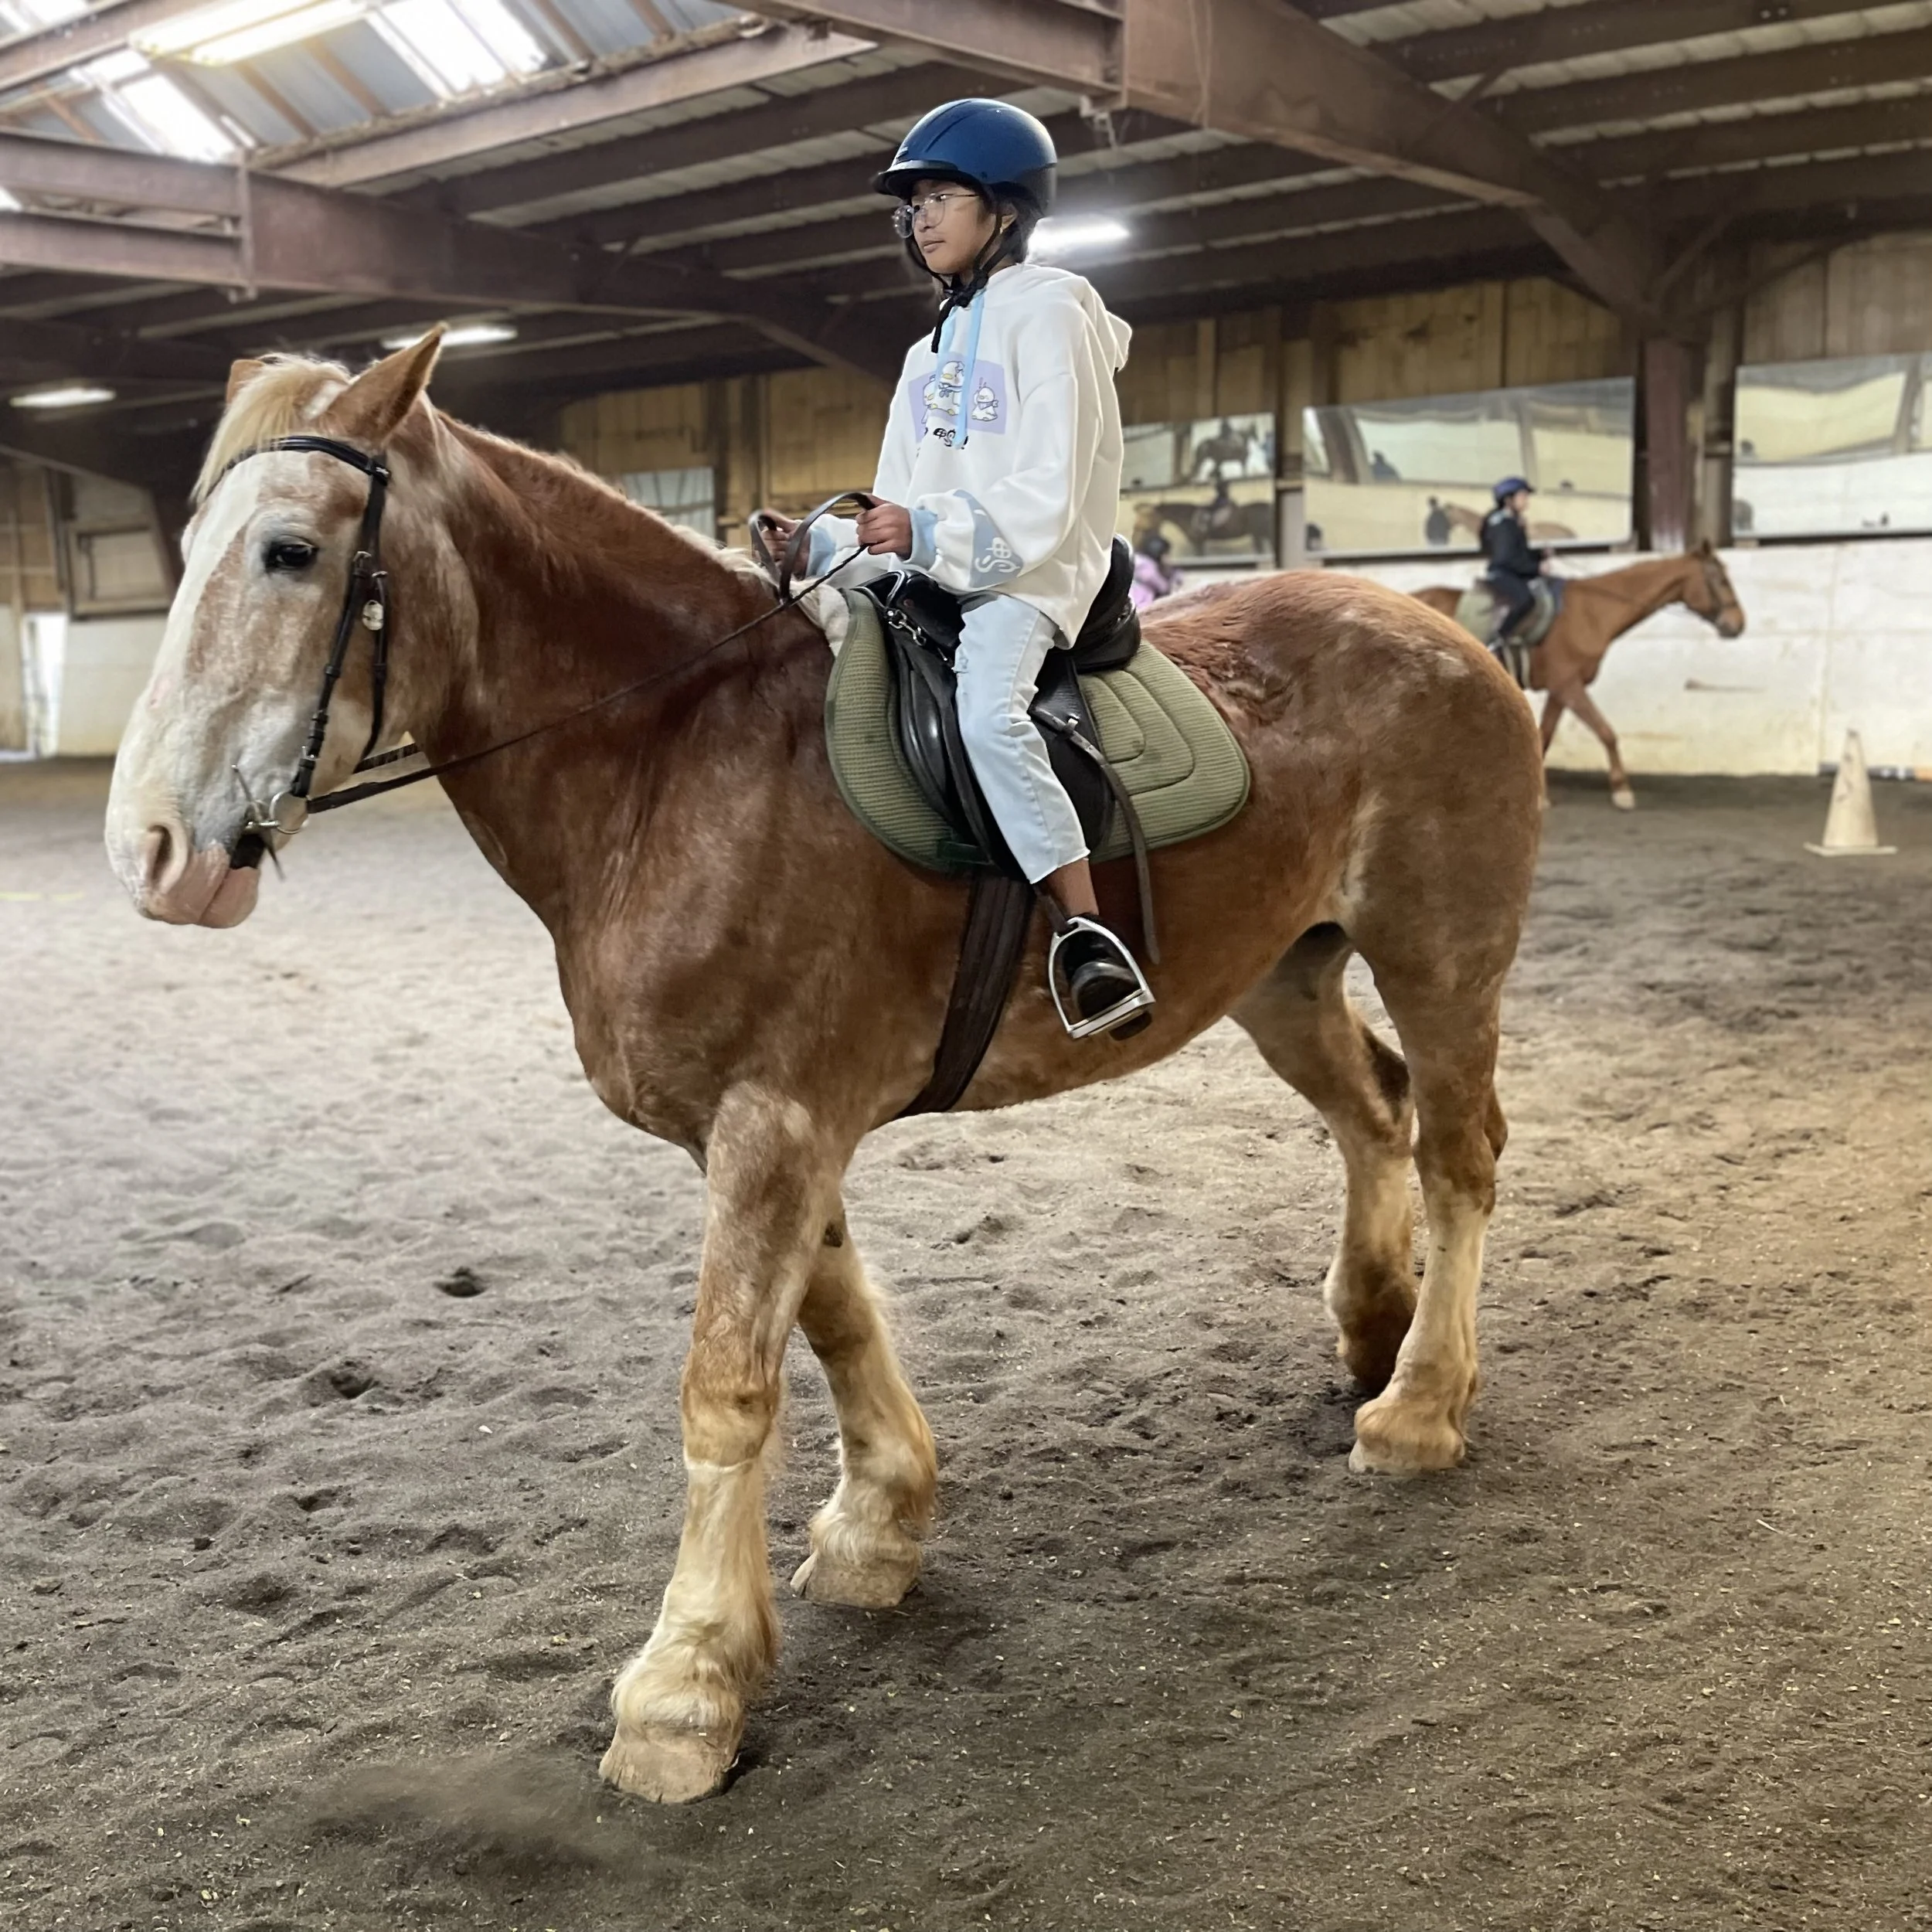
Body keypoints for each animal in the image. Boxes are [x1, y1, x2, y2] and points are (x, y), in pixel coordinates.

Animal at [104, 337, 1546, 1806]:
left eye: (289, 550)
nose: (153, 849)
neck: (677, 764)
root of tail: (1441, 634)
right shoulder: (768, 1128)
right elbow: (835, 1311)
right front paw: (876, 1527)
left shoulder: (773, 1125)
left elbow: (728, 1385)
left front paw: (683, 1688)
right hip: (1283, 976)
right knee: (1373, 1111)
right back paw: (1373, 1326)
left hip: (1440, 954)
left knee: (1456, 1150)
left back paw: (1420, 1404)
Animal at [1412, 546, 1746, 810]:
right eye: (1720, 579)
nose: (1738, 625)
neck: (1591, 613)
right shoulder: (1568, 685)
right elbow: (1606, 732)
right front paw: (1622, 791)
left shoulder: (1560, 691)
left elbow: (1545, 735)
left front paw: (1539, 796)